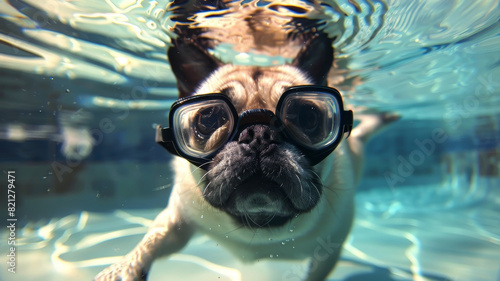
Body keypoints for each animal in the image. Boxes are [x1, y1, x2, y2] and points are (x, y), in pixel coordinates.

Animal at [94, 33, 390, 280]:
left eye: (308, 117)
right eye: (209, 119)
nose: (259, 133)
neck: (259, 225)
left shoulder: (330, 249)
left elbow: (315, 273)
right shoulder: (177, 220)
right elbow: (151, 241)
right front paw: (123, 268)